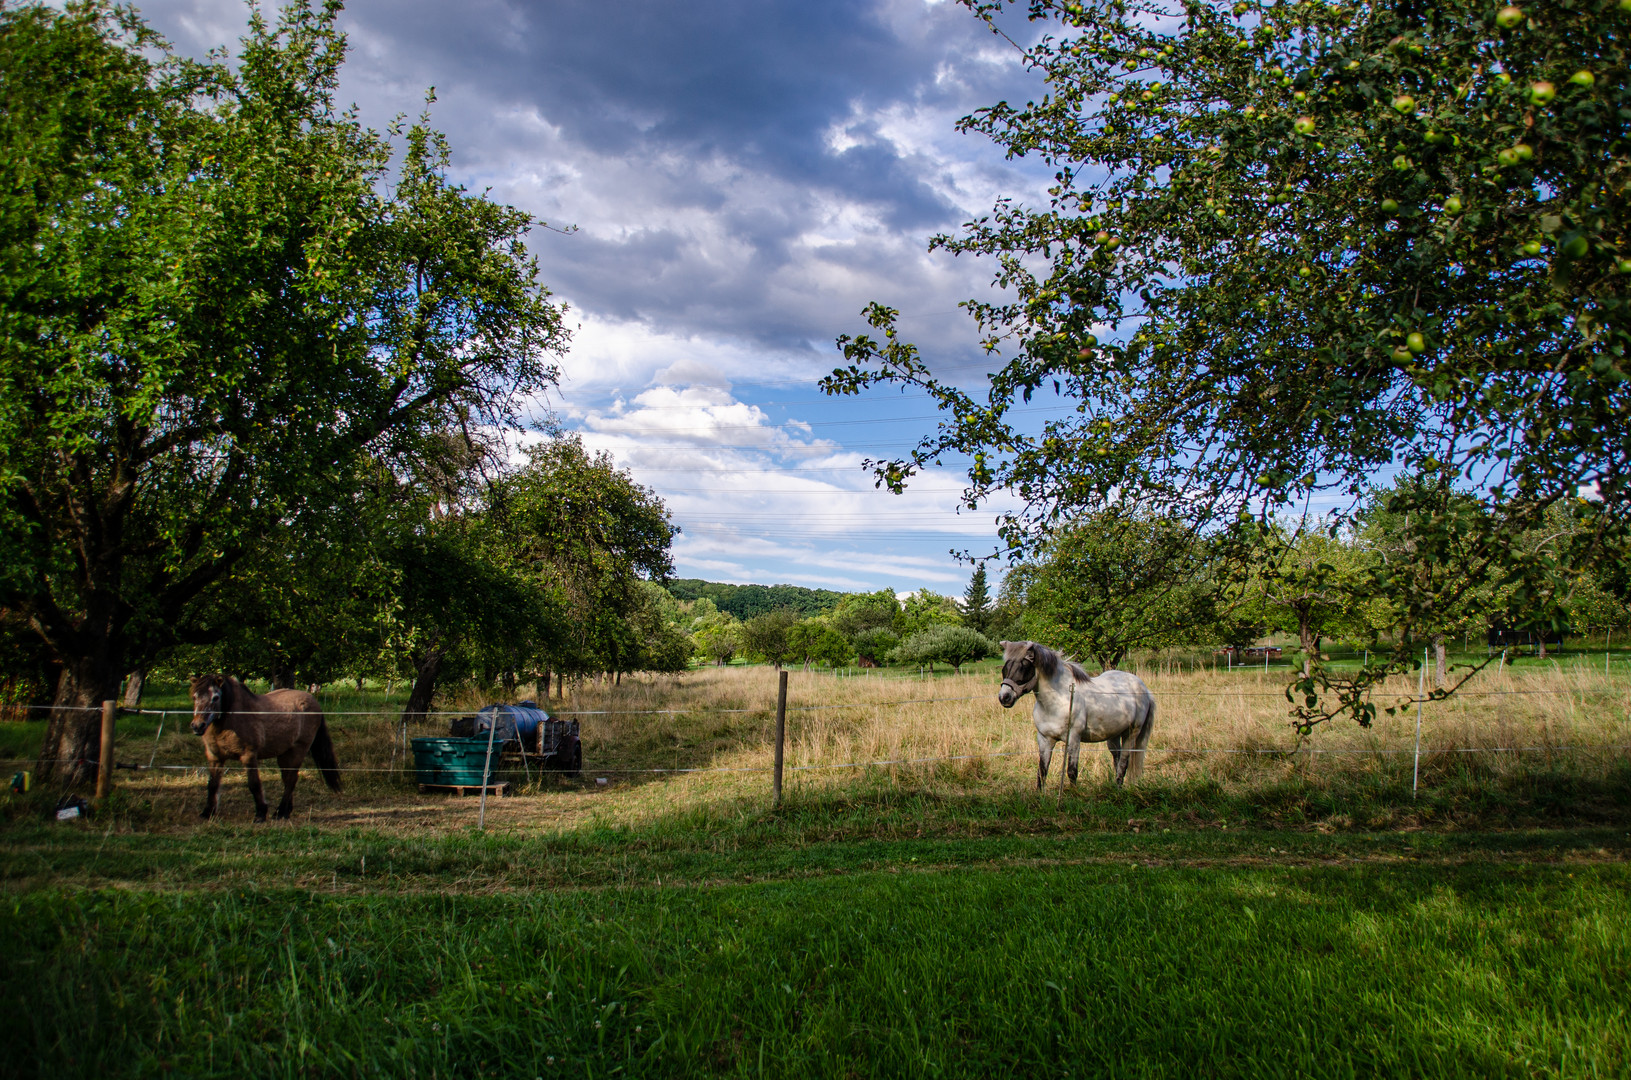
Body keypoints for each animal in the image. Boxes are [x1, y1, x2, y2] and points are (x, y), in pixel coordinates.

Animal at [190, 678, 340, 822]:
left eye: (215, 697)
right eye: (194, 696)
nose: (198, 726)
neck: (232, 718)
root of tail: (315, 702)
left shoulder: (249, 756)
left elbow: (254, 784)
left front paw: (261, 813)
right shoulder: (215, 757)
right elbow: (212, 785)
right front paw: (207, 812)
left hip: (298, 750)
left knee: (291, 780)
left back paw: (280, 812)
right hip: (285, 754)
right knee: (287, 779)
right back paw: (286, 811)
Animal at [998, 639, 1154, 792]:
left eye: (1024, 667)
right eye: (1005, 668)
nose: (1004, 697)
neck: (1058, 700)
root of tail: (1144, 689)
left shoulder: (1073, 738)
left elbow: (1072, 771)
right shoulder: (1044, 739)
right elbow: (1042, 771)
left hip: (1131, 733)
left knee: (1123, 763)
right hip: (1113, 734)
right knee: (1117, 758)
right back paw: (1117, 788)